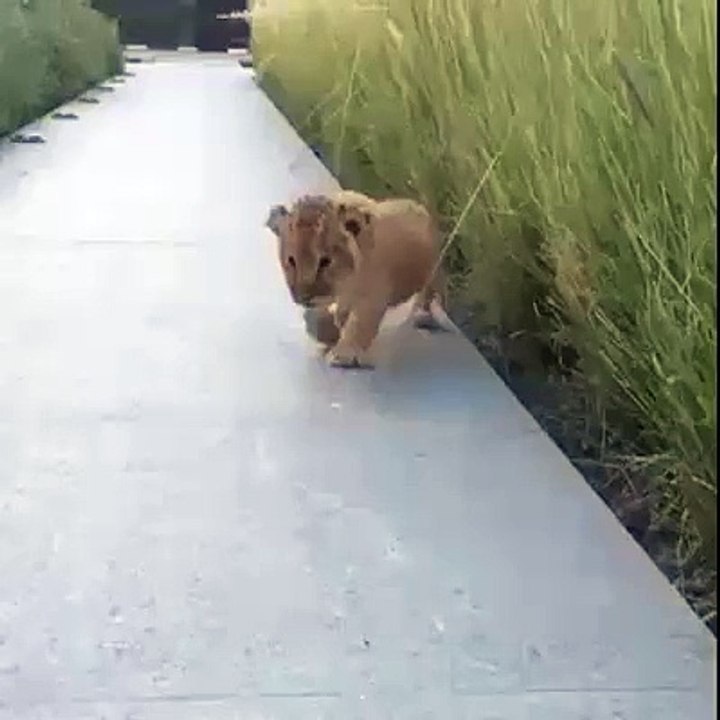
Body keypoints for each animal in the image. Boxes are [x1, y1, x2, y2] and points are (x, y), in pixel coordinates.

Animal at [265, 190, 446, 368]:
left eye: (325, 261)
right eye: (291, 261)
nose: (304, 298)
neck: (345, 282)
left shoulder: (373, 296)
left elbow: (359, 325)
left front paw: (342, 355)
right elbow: (322, 319)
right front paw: (327, 334)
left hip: (432, 276)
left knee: (427, 296)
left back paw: (425, 316)